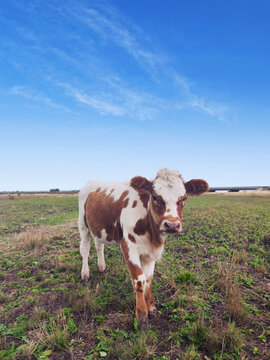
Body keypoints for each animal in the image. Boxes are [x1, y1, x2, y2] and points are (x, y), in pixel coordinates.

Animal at [78, 169, 209, 330]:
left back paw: (102, 266)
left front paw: (151, 308)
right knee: (85, 248)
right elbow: (139, 280)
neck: (152, 234)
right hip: (83, 223)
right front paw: (142, 316)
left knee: (99, 245)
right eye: (155, 196)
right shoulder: (129, 246)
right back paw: (85, 273)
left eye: (184, 198)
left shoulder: (151, 253)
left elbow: (149, 279)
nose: (172, 225)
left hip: (98, 227)